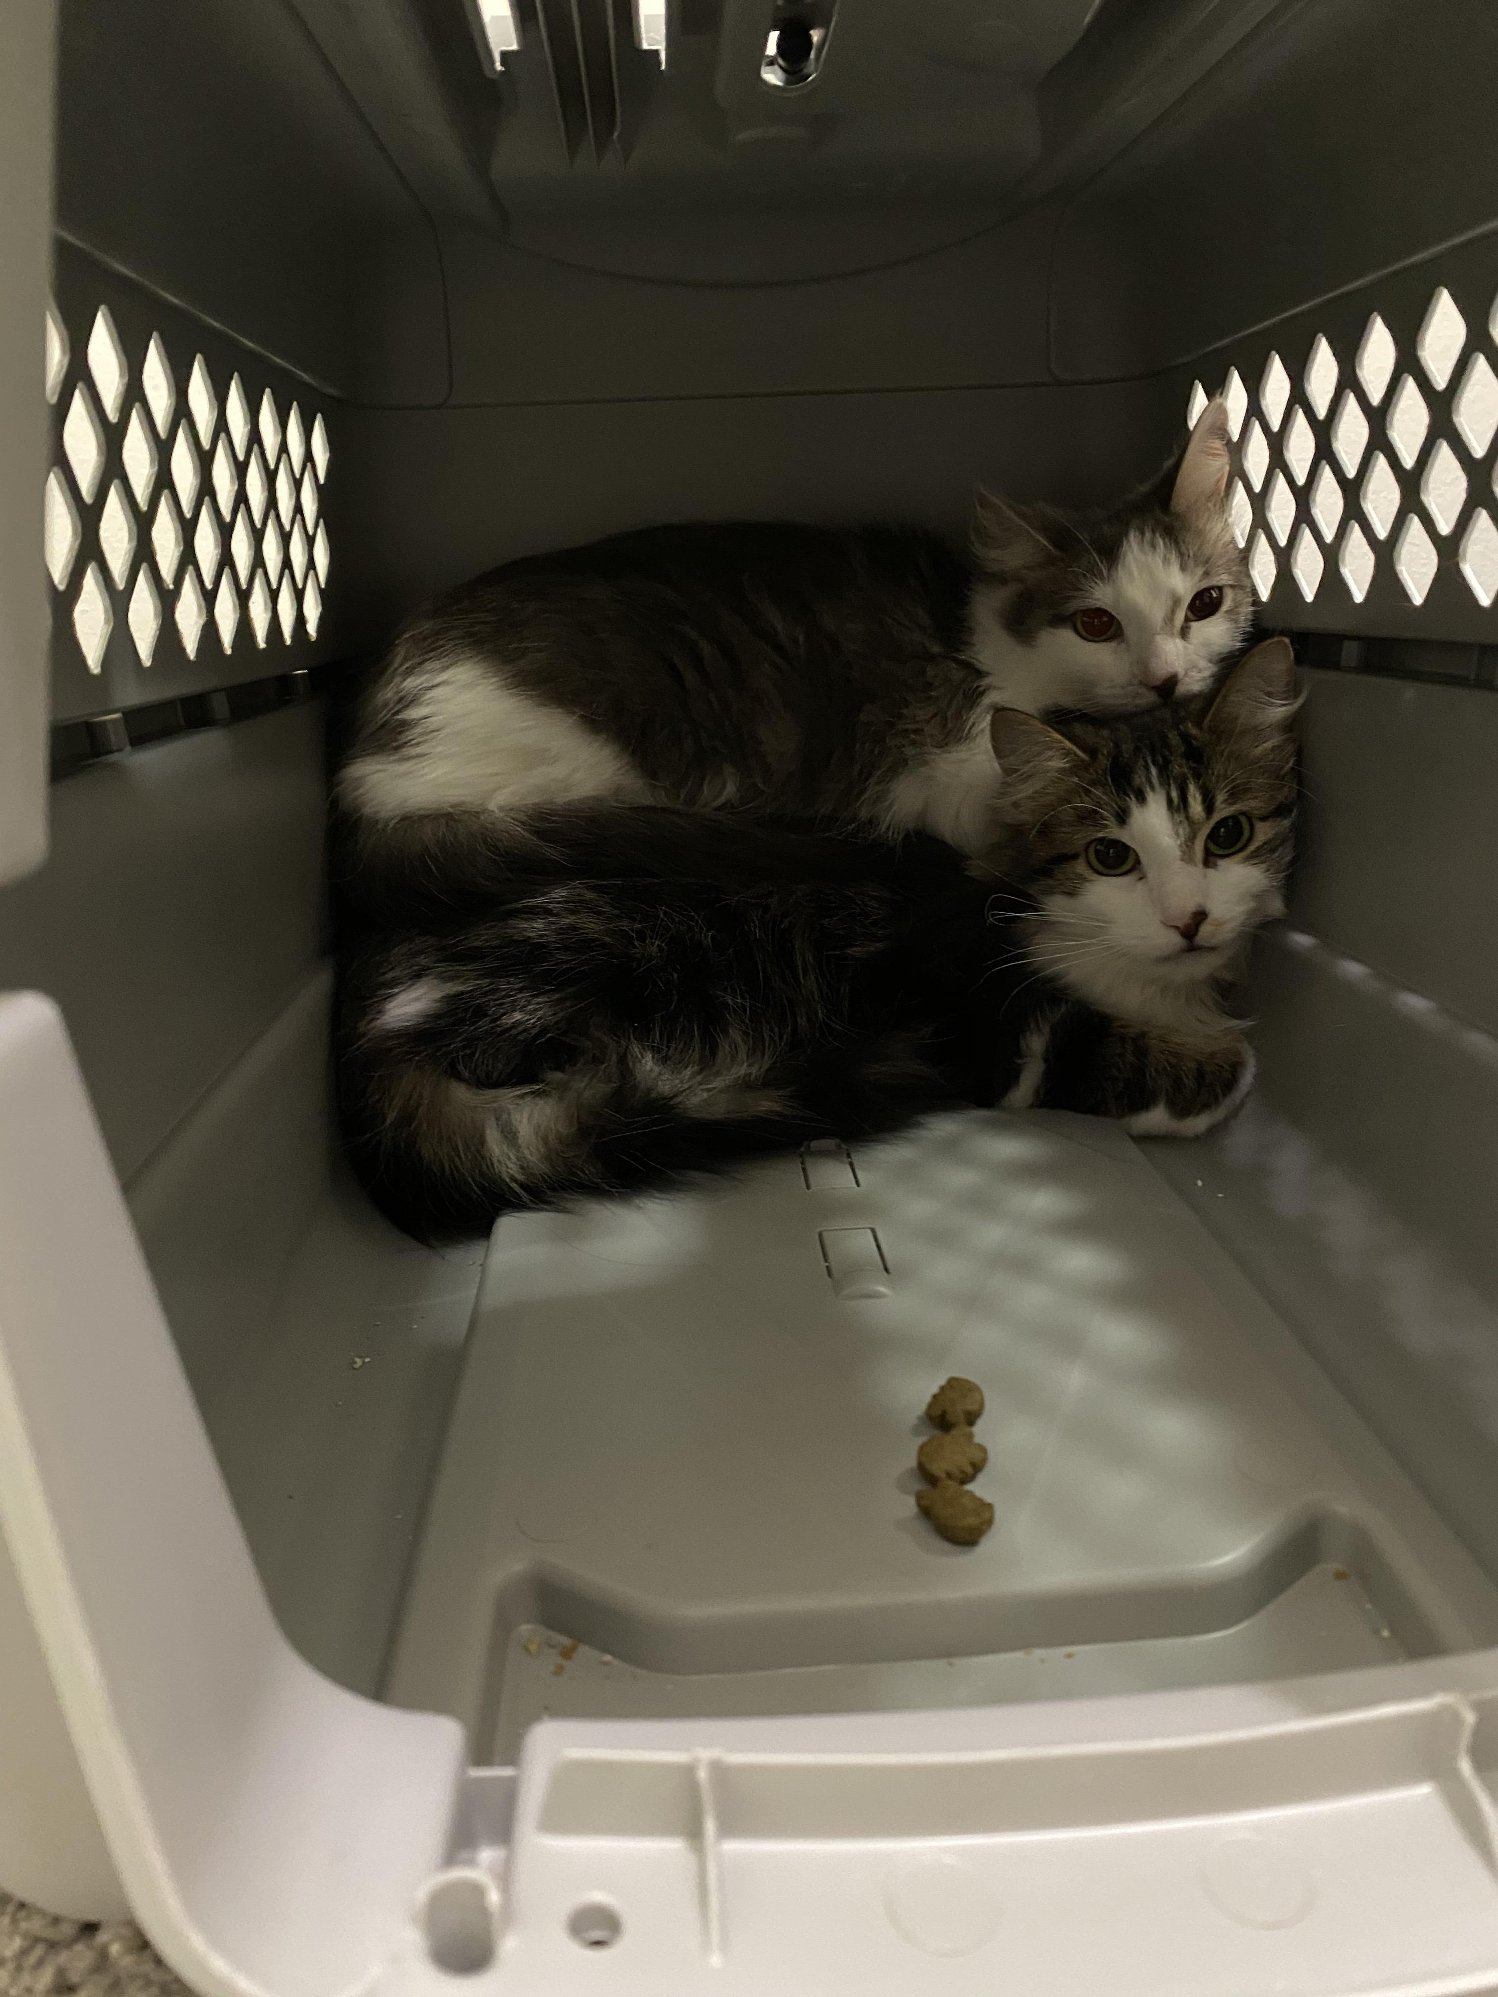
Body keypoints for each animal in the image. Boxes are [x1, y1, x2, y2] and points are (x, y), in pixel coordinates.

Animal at [334, 638, 1296, 1240]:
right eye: (1111, 855)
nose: (1189, 917)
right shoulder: (975, 1007)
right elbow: (1085, 1046)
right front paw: (1222, 1070)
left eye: (1228, 835)